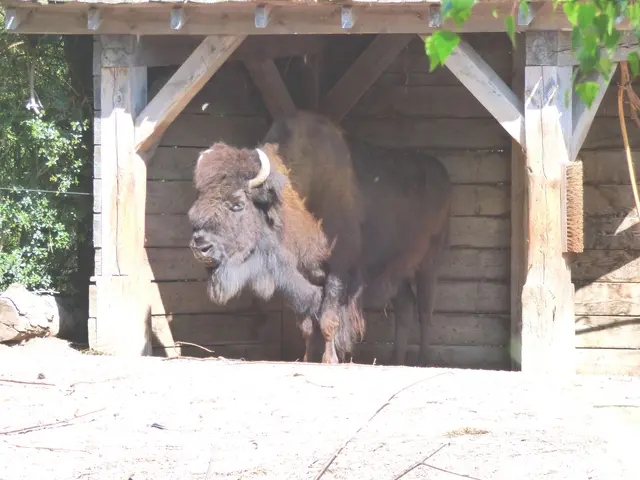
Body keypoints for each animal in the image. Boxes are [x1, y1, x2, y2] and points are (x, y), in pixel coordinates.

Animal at [188, 111, 452, 366]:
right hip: (396, 270)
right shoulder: (300, 273)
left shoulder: (338, 271)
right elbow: (306, 324)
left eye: (238, 204)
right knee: (405, 305)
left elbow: (328, 320)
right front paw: (308, 359)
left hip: (430, 261)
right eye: (197, 202)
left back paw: (423, 360)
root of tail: (442, 174)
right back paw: (397, 360)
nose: (201, 247)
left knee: (425, 310)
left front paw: (329, 360)